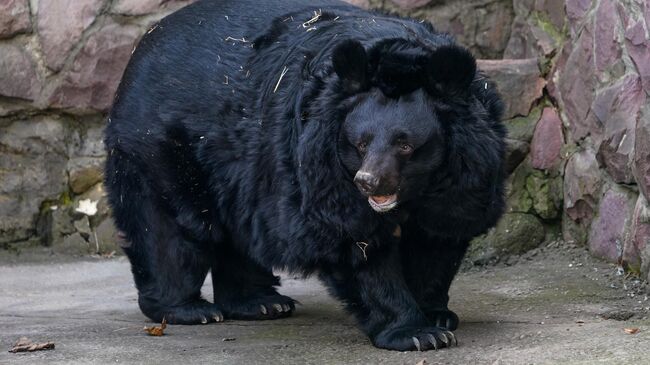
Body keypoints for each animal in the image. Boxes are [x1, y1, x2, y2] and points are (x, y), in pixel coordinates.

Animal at [102, 0, 506, 350]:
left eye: (405, 145)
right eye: (360, 143)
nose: (368, 181)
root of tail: (146, 42)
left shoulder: (466, 171)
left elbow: (440, 234)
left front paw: (436, 315)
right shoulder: (319, 158)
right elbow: (353, 239)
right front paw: (416, 333)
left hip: (238, 168)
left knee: (238, 229)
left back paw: (261, 303)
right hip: (161, 146)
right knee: (170, 230)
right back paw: (188, 309)